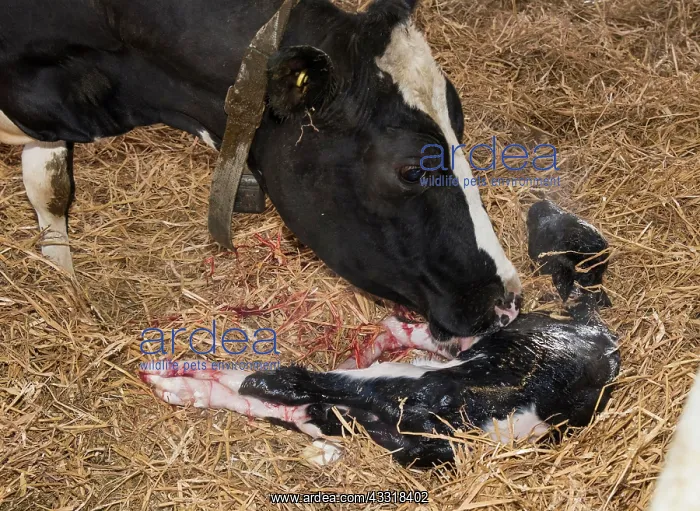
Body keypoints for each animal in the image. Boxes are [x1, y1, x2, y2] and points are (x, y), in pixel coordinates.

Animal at [0, 0, 522, 341]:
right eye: (411, 170)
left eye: (460, 126)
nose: (506, 301)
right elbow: (50, 189)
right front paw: (65, 282)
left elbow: (50, 187)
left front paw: (62, 279)